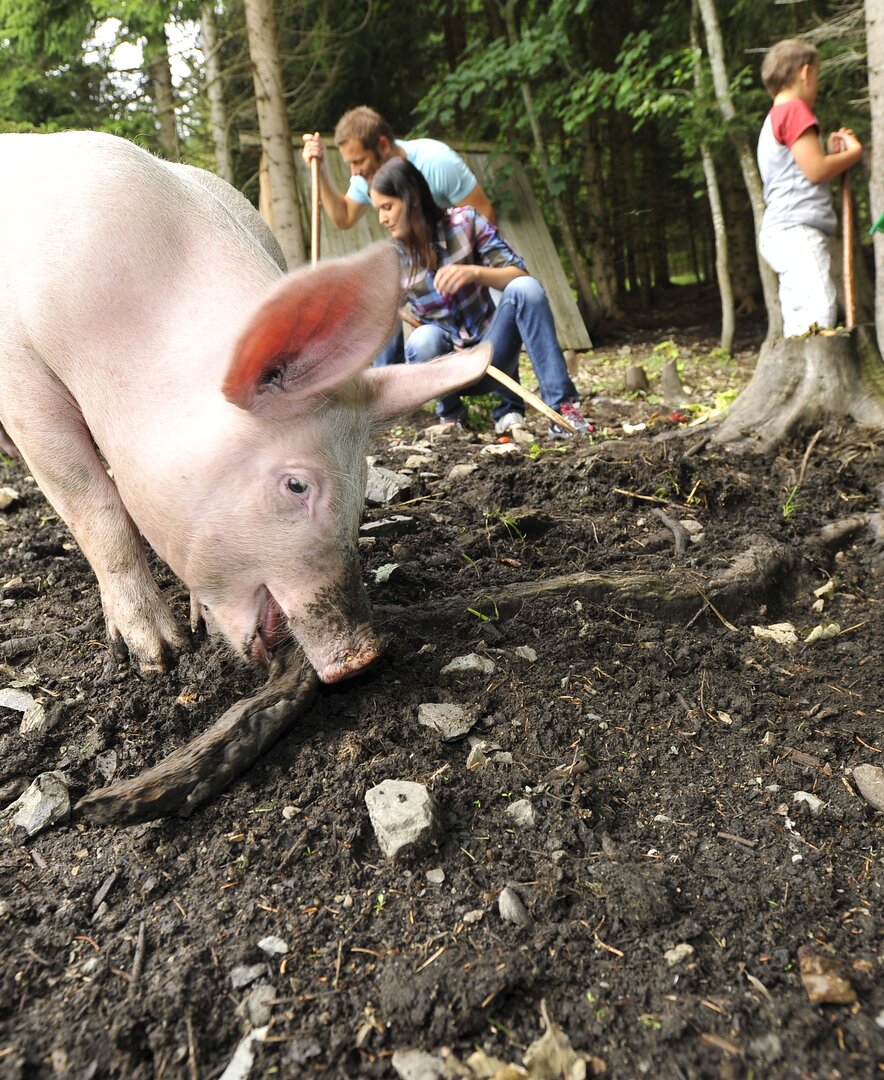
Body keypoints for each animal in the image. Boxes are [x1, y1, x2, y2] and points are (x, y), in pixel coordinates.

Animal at [0, 130, 490, 678]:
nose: (364, 657)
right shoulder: (21, 377)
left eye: (364, 479)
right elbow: (96, 507)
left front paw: (196, 628)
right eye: (296, 484)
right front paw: (160, 657)